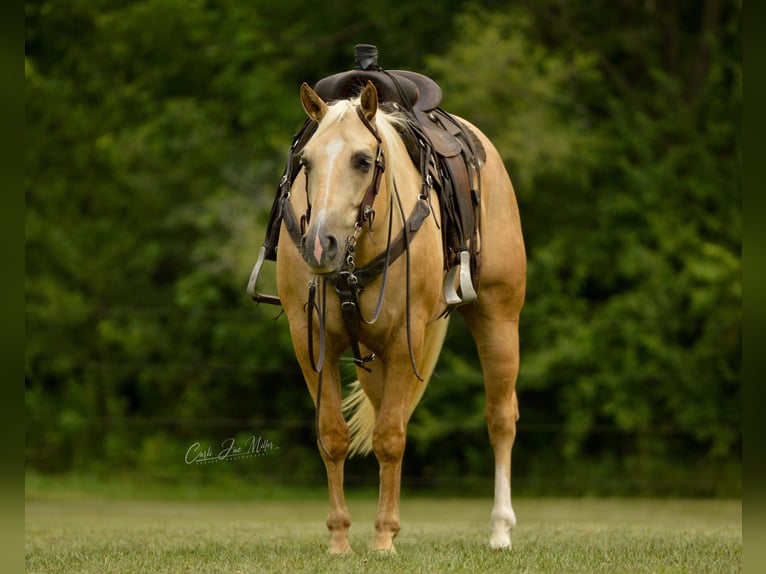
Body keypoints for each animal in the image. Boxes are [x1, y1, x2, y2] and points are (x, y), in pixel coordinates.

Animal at [272, 81, 524, 552]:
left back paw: (500, 530)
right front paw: (340, 539)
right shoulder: (310, 341)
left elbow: (390, 438)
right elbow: (333, 436)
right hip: (373, 363)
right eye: (306, 162)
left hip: (499, 319)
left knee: (500, 419)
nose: (319, 245)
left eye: (362, 160)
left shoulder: (407, 337)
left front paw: (384, 539)